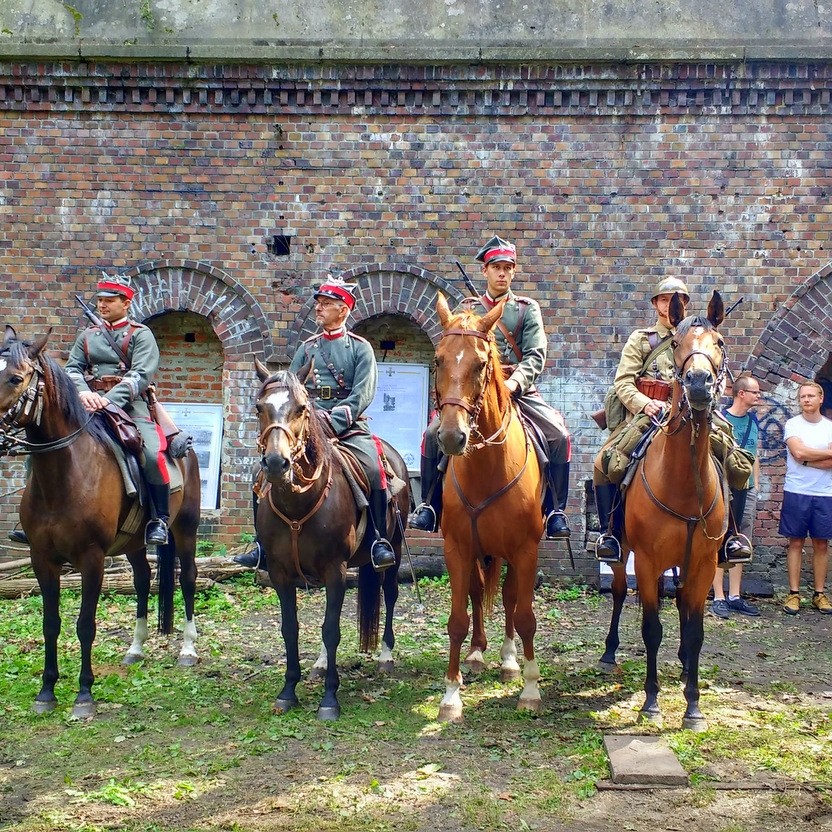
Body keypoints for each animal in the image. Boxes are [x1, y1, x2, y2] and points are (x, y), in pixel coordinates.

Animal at [0, 326, 201, 719]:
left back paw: (188, 649)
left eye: (16, 378)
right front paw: (46, 691)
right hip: (134, 543)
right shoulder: (41, 560)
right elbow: (51, 624)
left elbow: (85, 625)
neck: (65, 474)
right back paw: (135, 649)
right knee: (142, 581)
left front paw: (83, 695)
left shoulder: (91, 559)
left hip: (185, 530)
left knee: (186, 579)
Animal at [253, 360, 410, 721]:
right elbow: (291, 627)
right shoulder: (281, 573)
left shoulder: (336, 570)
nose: (276, 463)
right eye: (259, 407)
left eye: (301, 408)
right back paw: (322, 664)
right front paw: (288, 691)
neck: (298, 505)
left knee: (390, 594)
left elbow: (331, 629)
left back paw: (385, 655)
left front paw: (329, 700)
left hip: (394, 548)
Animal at [432, 294, 546, 722]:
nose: (452, 436)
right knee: (479, 593)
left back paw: (510, 660)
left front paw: (530, 688)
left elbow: (525, 616)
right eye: (438, 360)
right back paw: (478, 653)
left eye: (481, 364)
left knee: (511, 599)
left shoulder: (526, 550)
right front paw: (451, 694)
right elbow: (457, 619)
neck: (487, 468)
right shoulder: (457, 548)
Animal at [599, 291, 727, 730]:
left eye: (719, 343)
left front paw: (694, 707)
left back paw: (685, 665)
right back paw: (609, 652)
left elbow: (695, 631)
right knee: (620, 593)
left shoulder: (704, 564)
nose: (699, 383)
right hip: (623, 552)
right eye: (677, 344)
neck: (684, 485)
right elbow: (652, 628)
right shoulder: (647, 560)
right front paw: (651, 702)